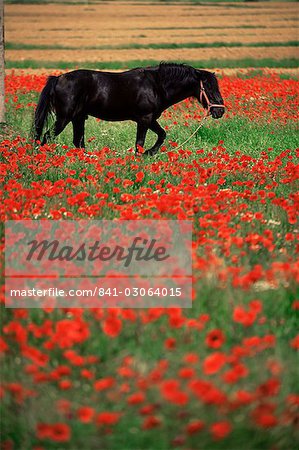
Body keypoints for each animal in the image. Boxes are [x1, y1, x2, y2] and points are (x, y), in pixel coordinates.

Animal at [34, 62, 225, 156]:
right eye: (208, 88)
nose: (220, 111)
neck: (156, 85)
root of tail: (58, 78)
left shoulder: (151, 119)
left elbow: (162, 135)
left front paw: (150, 153)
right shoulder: (144, 119)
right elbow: (139, 143)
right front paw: (143, 155)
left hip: (78, 118)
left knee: (78, 142)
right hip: (64, 118)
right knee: (46, 137)